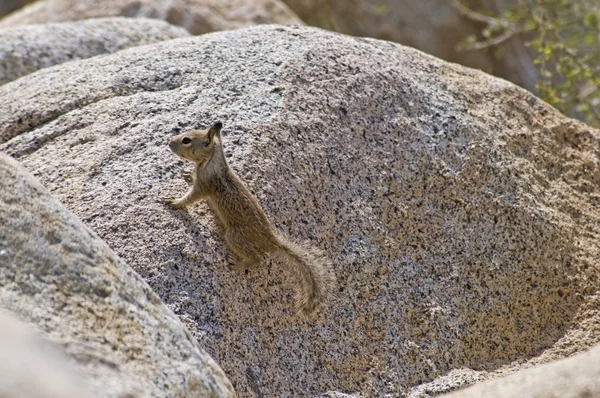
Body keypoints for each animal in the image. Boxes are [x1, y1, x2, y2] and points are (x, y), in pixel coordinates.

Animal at [162, 121, 336, 314]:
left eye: (186, 140)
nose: (169, 142)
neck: (212, 160)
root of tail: (271, 239)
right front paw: (187, 175)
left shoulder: (204, 186)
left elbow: (190, 198)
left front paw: (174, 202)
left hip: (234, 235)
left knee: (258, 258)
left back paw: (238, 265)